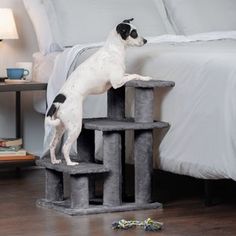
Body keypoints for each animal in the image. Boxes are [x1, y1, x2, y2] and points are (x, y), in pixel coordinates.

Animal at [46, 18, 152, 165]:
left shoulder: (120, 77)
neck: (113, 49)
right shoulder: (117, 81)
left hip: (60, 127)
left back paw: (54, 161)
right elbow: (135, 75)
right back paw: (70, 163)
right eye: (134, 33)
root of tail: (58, 100)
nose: (146, 40)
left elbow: (132, 74)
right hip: (75, 127)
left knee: (52, 145)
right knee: (65, 147)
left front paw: (145, 76)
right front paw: (146, 78)